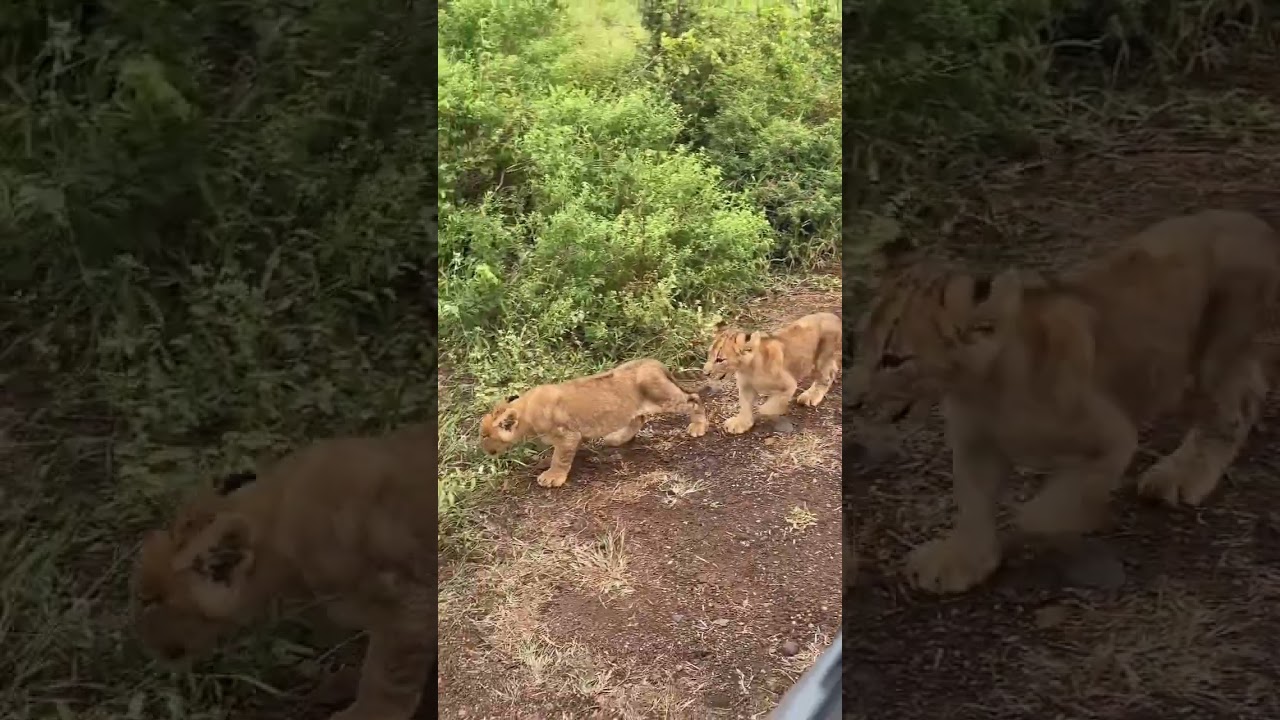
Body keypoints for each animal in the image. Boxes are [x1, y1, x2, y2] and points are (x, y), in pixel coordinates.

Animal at [479, 358, 709, 488]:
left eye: (486, 436)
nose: (483, 451)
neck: (526, 410)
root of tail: (654, 362)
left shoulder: (568, 435)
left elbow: (560, 458)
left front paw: (552, 477)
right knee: (639, 418)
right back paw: (616, 439)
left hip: (663, 397)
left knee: (694, 399)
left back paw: (698, 427)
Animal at [703, 312, 842, 434]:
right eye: (709, 354)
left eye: (720, 359)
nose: (705, 373)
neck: (748, 369)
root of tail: (835, 317)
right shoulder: (746, 387)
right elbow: (745, 405)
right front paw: (741, 423)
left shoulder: (788, 384)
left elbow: (767, 408)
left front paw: (771, 410)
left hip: (821, 360)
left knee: (826, 377)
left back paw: (810, 396)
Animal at [848, 209, 1280, 594]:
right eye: (862, 343)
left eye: (894, 359)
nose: (851, 402)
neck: (982, 390)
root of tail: (1257, 224)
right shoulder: (976, 445)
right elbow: (972, 503)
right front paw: (962, 561)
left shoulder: (1112, 436)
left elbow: (1045, 511)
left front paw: (1059, 521)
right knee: (1250, 390)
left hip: (1215, 354)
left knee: (1232, 410)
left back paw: (1179, 475)